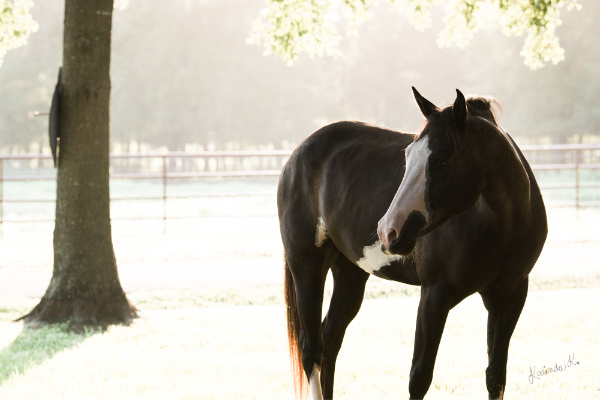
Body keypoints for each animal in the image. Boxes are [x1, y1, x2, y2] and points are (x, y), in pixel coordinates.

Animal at [278, 88, 548, 400]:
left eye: (441, 161)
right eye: (408, 155)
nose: (388, 231)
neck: (501, 224)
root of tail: (297, 155)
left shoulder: (509, 297)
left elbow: (495, 377)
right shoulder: (434, 296)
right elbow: (419, 378)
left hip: (350, 274)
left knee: (330, 339)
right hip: (307, 268)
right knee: (311, 349)